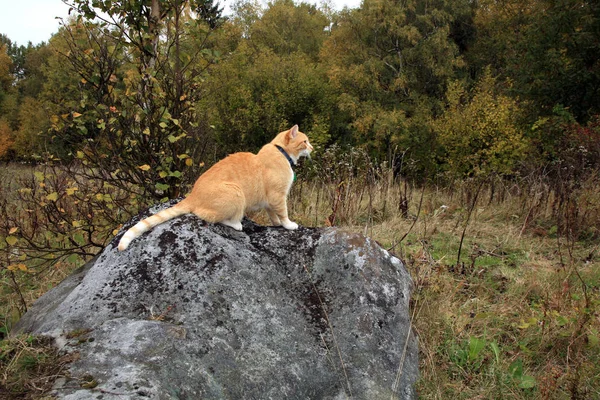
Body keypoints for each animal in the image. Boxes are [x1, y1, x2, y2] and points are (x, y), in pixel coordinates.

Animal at [118, 124, 314, 250]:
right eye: (305, 141)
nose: (312, 148)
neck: (282, 153)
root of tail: (192, 195)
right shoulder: (277, 196)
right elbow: (283, 212)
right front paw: (289, 225)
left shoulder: (270, 201)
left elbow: (273, 214)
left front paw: (276, 224)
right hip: (236, 193)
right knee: (216, 218)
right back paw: (237, 224)